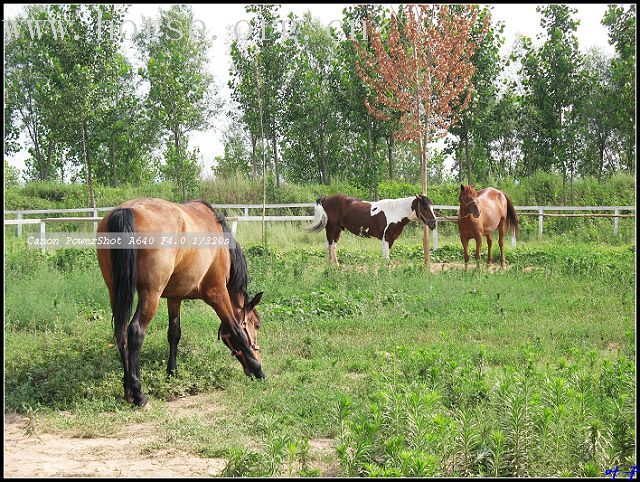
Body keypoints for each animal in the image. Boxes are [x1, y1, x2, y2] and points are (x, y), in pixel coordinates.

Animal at [95, 197, 264, 406]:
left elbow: (174, 334)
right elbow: (237, 331)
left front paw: (172, 372)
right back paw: (138, 394)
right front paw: (258, 369)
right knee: (135, 331)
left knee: (121, 334)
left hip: (115, 291)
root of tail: (128, 210)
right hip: (151, 294)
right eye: (256, 325)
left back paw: (127, 391)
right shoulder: (217, 293)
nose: (258, 359)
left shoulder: (174, 298)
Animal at [306, 194, 438, 266]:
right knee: (329, 246)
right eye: (425, 207)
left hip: (337, 229)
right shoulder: (386, 239)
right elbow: (386, 258)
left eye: (432, 207)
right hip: (331, 228)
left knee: (333, 246)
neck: (396, 212)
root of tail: (326, 198)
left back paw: (337, 265)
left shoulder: (391, 240)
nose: (434, 224)